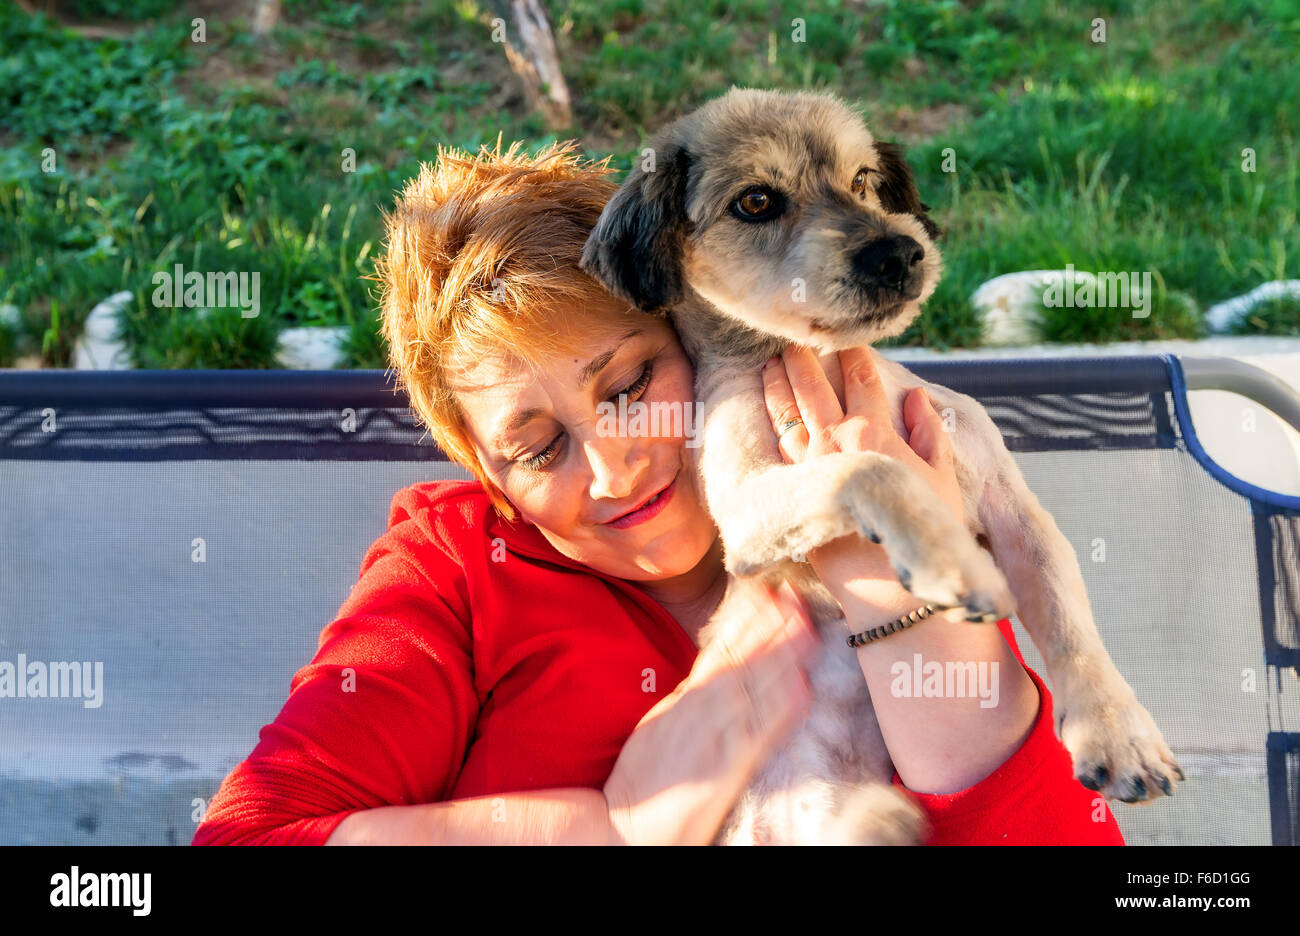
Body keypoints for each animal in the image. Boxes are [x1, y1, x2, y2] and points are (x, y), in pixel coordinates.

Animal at [585, 89, 1185, 847]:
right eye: (756, 201)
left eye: (864, 179)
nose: (899, 252)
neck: (829, 366)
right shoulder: (747, 513)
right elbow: (868, 467)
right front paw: (949, 561)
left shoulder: (1015, 510)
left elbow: (1070, 623)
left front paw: (1119, 735)